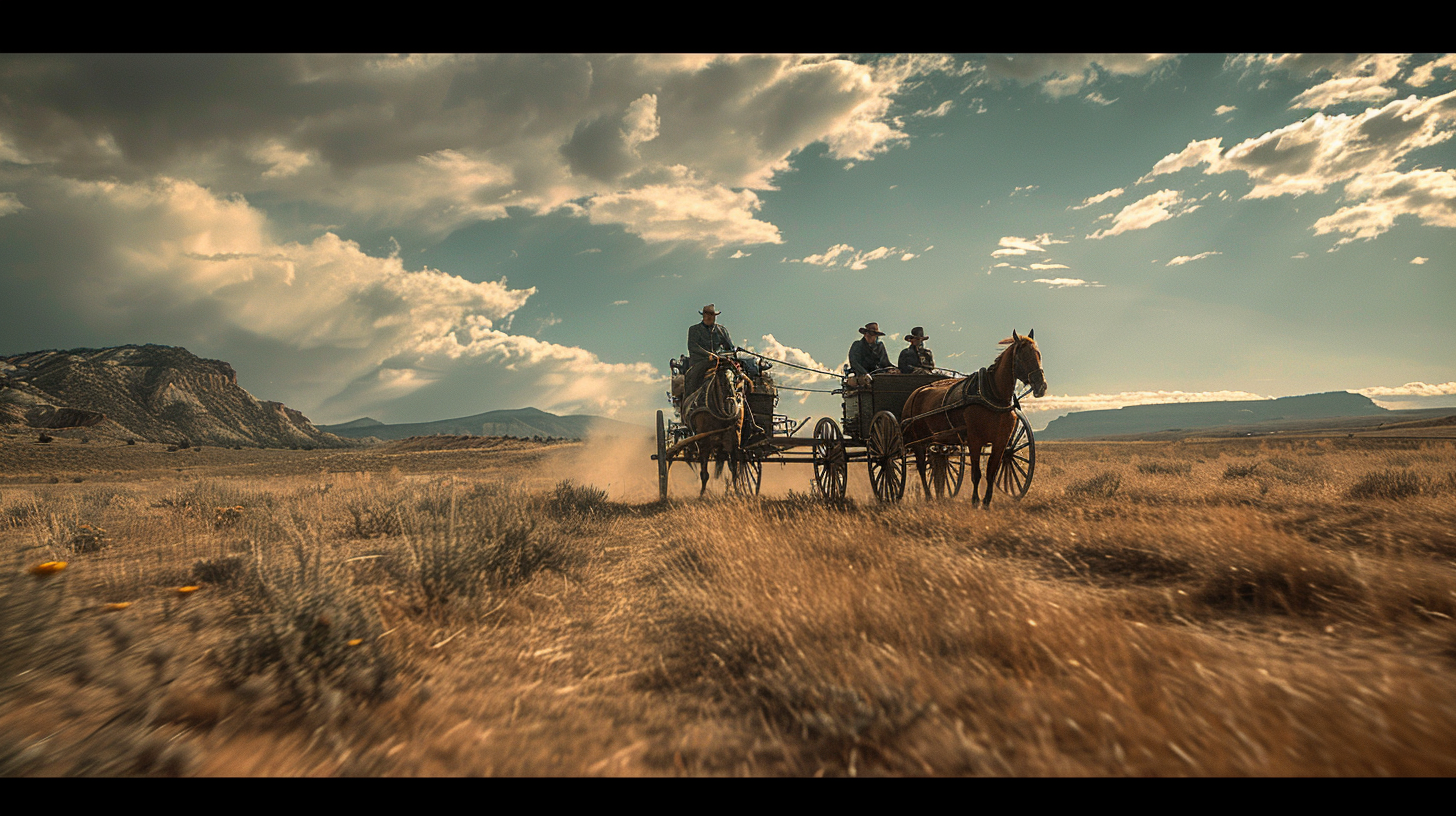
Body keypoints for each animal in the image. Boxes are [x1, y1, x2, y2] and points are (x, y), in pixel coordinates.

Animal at [896, 327, 1048, 507]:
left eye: (1038, 354)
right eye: (1022, 356)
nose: (1041, 386)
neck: (992, 395)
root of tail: (914, 394)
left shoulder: (1001, 442)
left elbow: (991, 472)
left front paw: (987, 502)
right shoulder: (974, 440)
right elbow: (976, 473)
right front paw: (975, 501)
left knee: (935, 462)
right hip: (918, 441)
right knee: (918, 465)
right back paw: (927, 496)